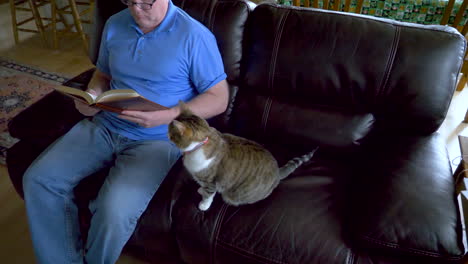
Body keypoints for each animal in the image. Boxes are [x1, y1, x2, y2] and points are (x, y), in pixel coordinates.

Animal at [168, 102, 318, 211]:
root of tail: (277, 172)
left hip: (235, 196)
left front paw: (204, 205)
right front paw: (200, 190)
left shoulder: (211, 181)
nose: (166, 134)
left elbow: (209, 195)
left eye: (170, 131)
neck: (200, 144)